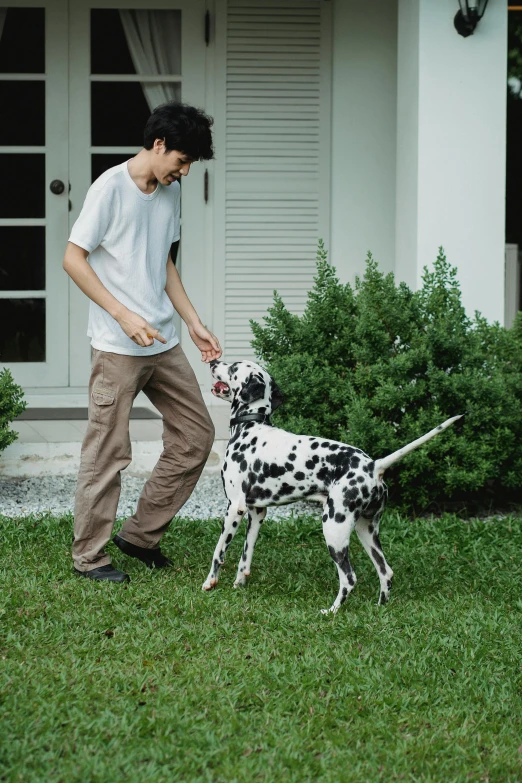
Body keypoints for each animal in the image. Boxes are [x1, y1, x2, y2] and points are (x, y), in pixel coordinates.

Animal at [203, 360, 460, 612]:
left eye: (233, 367)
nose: (213, 361)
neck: (251, 426)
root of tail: (373, 465)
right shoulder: (257, 512)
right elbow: (245, 557)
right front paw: (239, 585)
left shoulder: (234, 508)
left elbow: (218, 552)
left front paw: (209, 583)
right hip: (366, 531)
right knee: (386, 572)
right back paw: (380, 608)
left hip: (333, 531)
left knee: (349, 578)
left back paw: (332, 611)